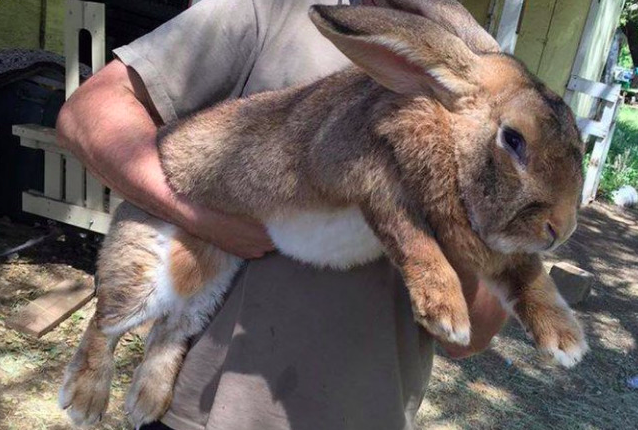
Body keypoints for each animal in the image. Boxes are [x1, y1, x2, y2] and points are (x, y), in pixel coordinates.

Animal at [60, 1, 592, 426]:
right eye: (514, 139)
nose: (561, 229)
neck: (443, 130)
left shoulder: (497, 247)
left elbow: (527, 274)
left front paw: (566, 342)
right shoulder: (368, 178)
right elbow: (411, 236)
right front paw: (446, 315)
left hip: (208, 283)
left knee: (169, 333)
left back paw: (145, 404)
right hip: (146, 264)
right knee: (107, 322)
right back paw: (85, 403)